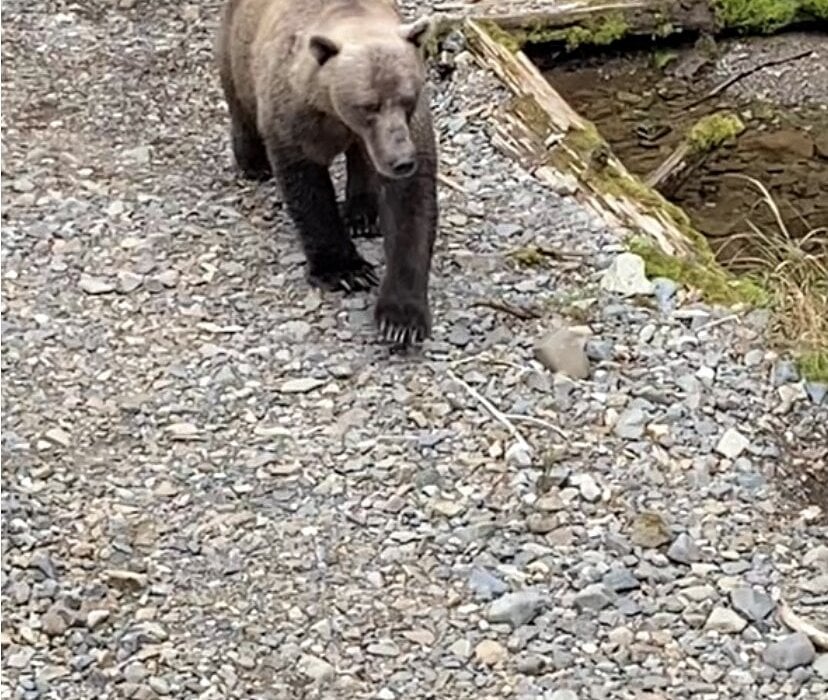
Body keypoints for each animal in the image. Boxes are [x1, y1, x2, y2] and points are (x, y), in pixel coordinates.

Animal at [217, 0, 439, 346]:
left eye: (407, 98)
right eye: (368, 105)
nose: (401, 160)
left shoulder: (410, 129)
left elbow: (409, 207)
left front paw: (401, 320)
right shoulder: (294, 114)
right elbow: (308, 191)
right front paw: (346, 271)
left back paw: (363, 214)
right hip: (239, 41)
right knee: (236, 87)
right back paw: (252, 161)